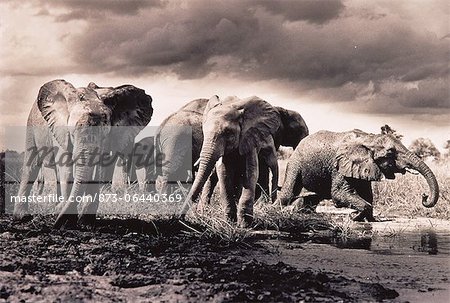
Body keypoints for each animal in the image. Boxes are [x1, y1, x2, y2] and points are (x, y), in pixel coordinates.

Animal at [13, 79, 154, 229]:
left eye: (105, 135)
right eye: (73, 133)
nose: (56, 225)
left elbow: (99, 171)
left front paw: (85, 223)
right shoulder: (61, 130)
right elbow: (66, 168)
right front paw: (67, 221)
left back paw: (56, 209)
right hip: (31, 124)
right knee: (31, 165)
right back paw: (23, 217)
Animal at [183, 96, 282, 227]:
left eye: (228, 133)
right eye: (204, 132)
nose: (181, 218)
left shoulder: (249, 140)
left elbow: (250, 174)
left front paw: (244, 224)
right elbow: (224, 174)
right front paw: (229, 223)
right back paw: (203, 211)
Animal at [274, 129, 440, 222]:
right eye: (390, 152)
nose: (424, 196)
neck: (369, 138)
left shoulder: (365, 166)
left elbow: (368, 195)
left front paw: (371, 219)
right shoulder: (340, 165)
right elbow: (339, 194)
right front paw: (354, 217)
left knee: (314, 196)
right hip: (295, 161)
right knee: (289, 191)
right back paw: (273, 209)